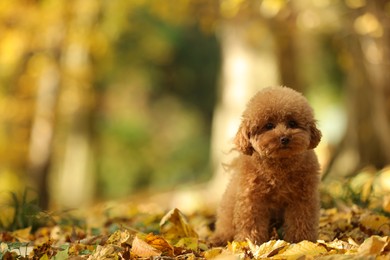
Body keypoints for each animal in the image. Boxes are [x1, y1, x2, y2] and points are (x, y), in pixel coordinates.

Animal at [212, 86, 322, 246]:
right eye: (269, 125)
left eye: (292, 123)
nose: (284, 138)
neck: (279, 165)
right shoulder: (253, 199)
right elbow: (252, 222)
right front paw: (250, 242)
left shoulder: (302, 197)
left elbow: (301, 219)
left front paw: (300, 241)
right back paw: (220, 238)